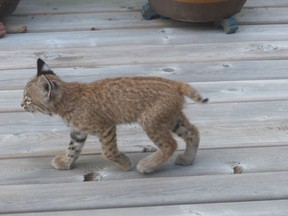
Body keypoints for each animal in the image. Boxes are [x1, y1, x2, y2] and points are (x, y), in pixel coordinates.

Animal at [21, 58, 208, 174]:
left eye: (28, 99)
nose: (21, 105)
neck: (65, 97)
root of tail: (174, 83)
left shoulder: (106, 127)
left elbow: (108, 151)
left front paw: (125, 163)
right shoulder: (78, 131)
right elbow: (73, 148)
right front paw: (66, 162)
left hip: (150, 120)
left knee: (170, 144)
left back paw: (147, 165)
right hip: (170, 117)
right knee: (193, 131)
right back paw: (187, 159)